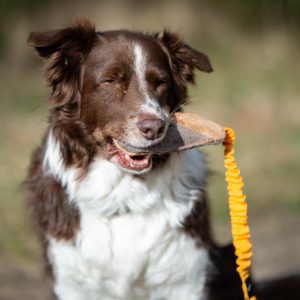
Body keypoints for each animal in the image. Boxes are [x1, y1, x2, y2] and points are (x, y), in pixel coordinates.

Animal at [24, 19, 217, 298]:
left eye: (161, 82)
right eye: (110, 80)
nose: (155, 128)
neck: (123, 194)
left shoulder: (186, 278)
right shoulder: (71, 280)